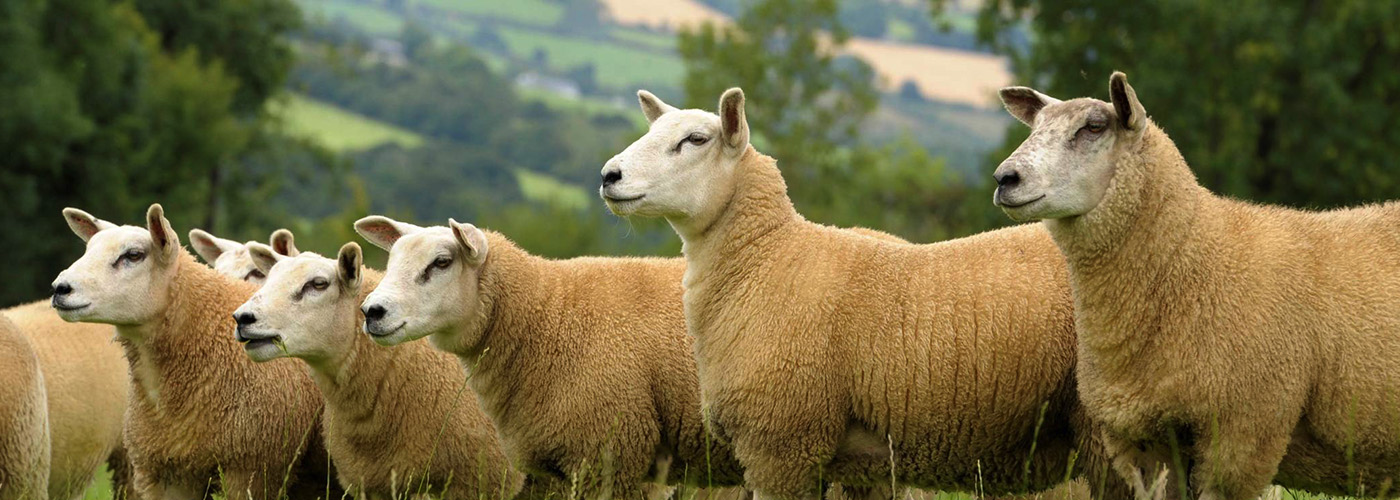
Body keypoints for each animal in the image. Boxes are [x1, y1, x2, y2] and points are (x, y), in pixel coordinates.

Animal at [991, 72, 1400, 500]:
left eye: (1094, 127)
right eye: (1035, 127)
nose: (1005, 178)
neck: (1196, 259)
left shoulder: (1242, 433)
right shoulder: (1146, 442)